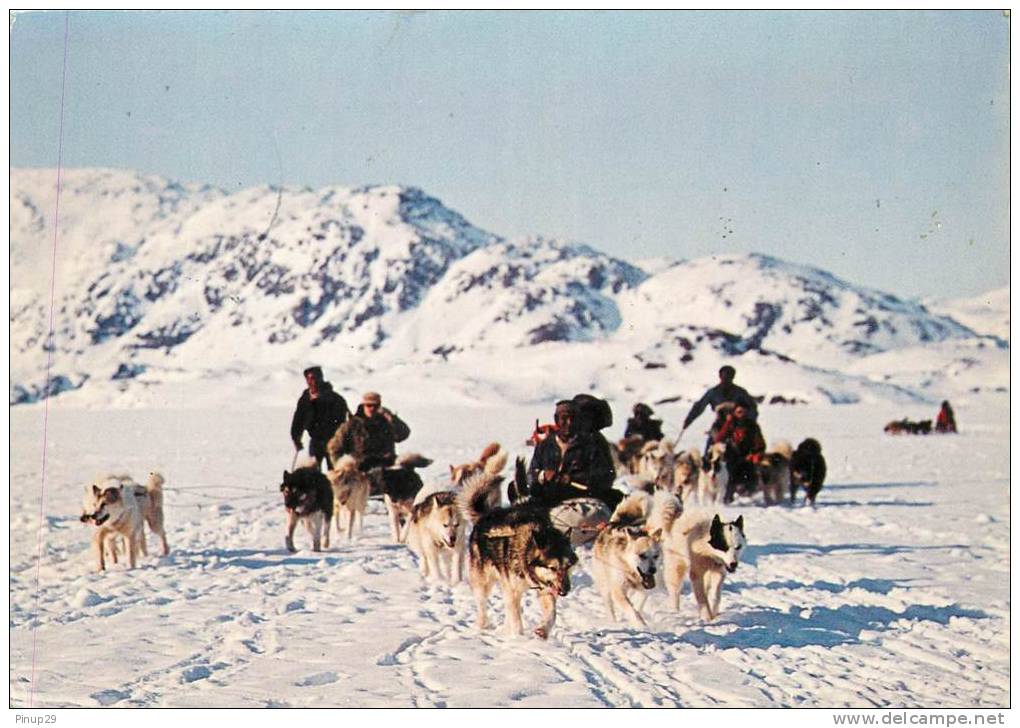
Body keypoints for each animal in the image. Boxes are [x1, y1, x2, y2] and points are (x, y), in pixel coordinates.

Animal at [459, 471, 579, 636]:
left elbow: (552, 614)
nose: (565, 590)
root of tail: (485, 515)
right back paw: (482, 626)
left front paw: (543, 631)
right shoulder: (514, 590)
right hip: (483, 583)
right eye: (553, 568)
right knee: (482, 606)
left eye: (567, 566)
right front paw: (518, 638)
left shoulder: (545, 588)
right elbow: (516, 621)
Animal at [591, 491, 660, 628]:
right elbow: (631, 610)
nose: (653, 570)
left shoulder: (644, 589)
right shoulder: (617, 590)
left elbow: (637, 606)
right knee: (609, 605)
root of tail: (613, 524)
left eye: (656, 556)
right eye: (642, 555)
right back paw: (613, 622)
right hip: (605, 585)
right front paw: (640, 624)